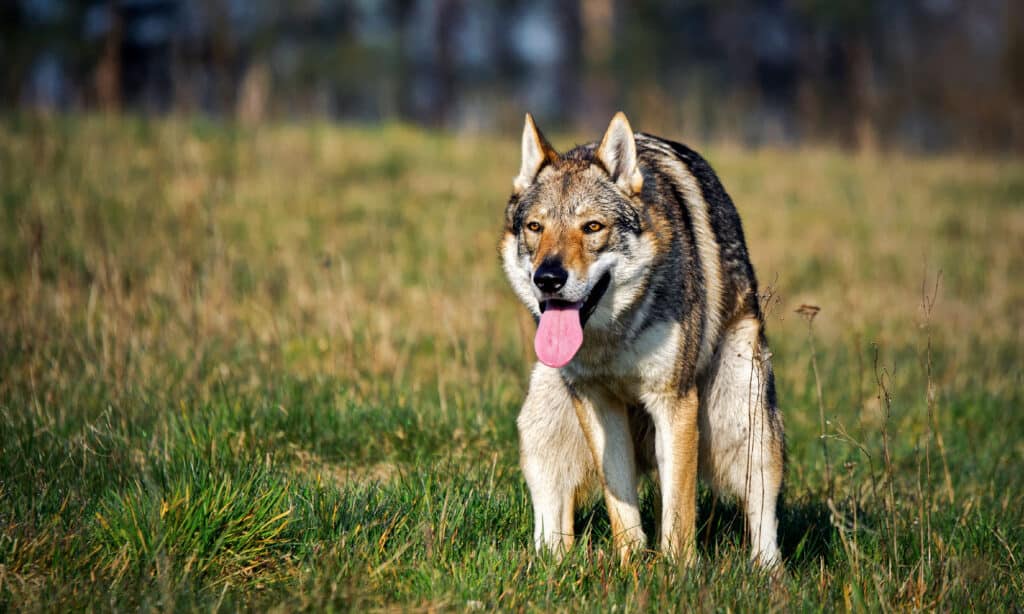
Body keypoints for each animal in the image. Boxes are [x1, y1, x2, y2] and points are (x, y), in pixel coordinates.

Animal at [501, 112, 782, 568]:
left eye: (592, 227)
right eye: (535, 228)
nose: (548, 278)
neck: (613, 340)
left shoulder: (674, 403)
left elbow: (679, 514)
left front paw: (676, 572)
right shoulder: (598, 404)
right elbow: (622, 510)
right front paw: (631, 567)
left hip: (744, 419)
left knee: (762, 516)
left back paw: (766, 575)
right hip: (540, 427)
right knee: (552, 526)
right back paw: (550, 566)